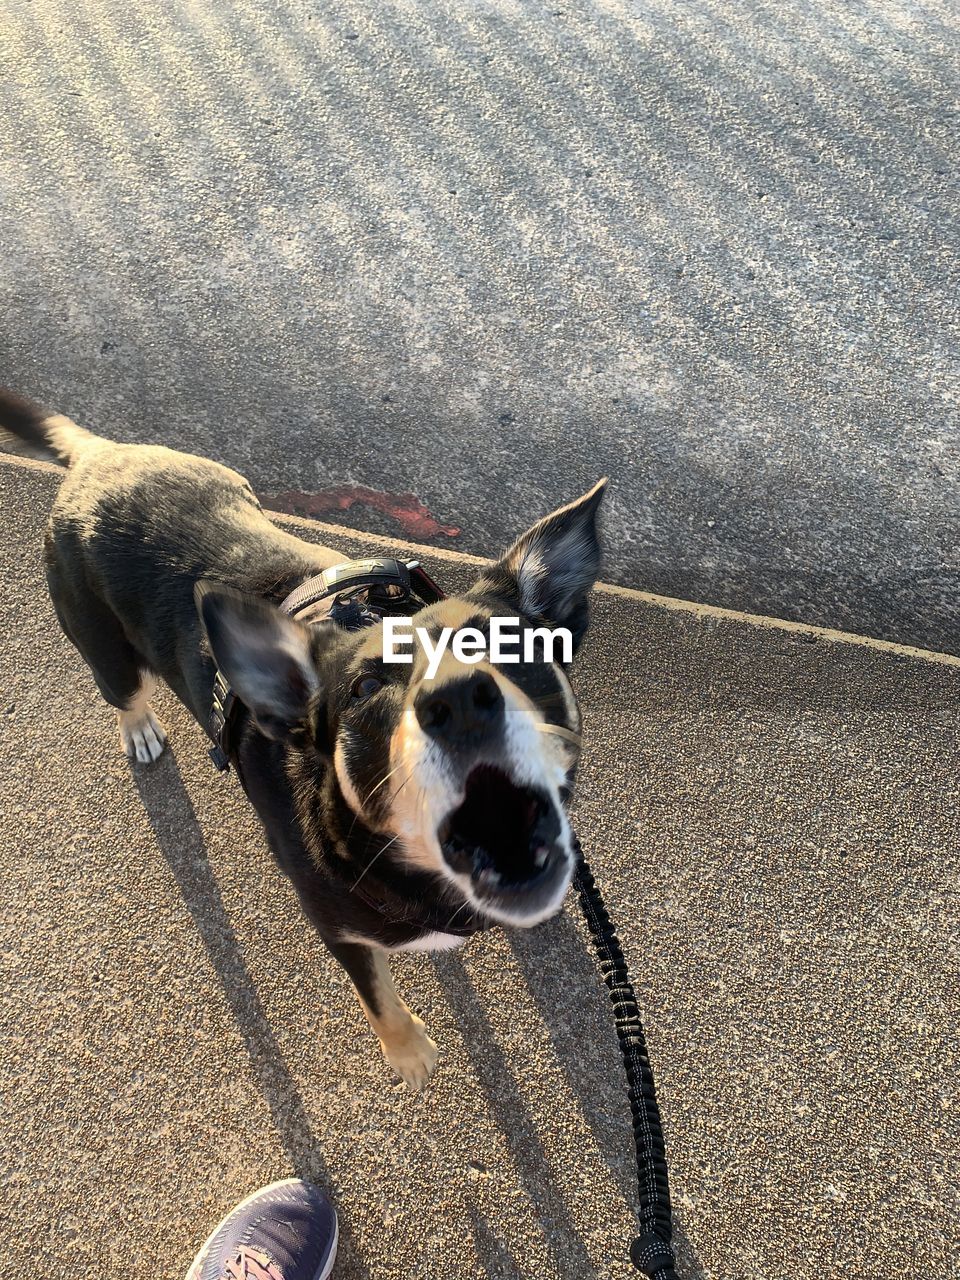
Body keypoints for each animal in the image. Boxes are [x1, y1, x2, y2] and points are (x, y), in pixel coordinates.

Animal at [1, 384, 609, 1085]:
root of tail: (100, 454)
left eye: (510, 644)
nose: (460, 702)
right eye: (366, 688)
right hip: (105, 651)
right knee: (125, 695)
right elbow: (378, 996)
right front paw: (409, 1053)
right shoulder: (338, 932)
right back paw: (141, 730)